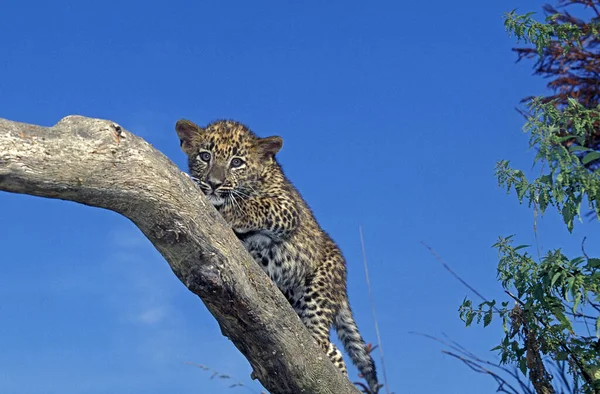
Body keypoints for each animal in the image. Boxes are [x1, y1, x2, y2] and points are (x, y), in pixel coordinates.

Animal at [176, 118, 380, 392]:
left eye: (237, 162)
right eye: (204, 156)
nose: (214, 183)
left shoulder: (286, 208)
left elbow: (256, 205)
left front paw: (229, 209)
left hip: (317, 292)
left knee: (322, 344)